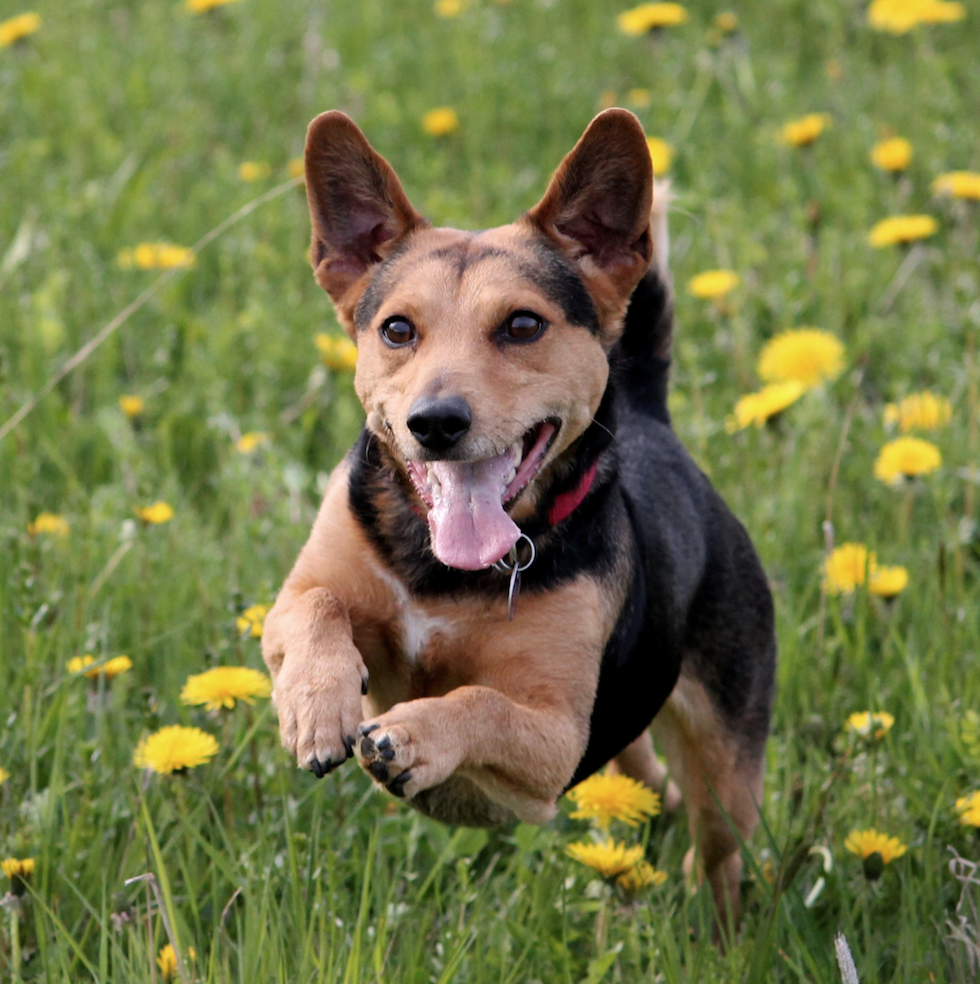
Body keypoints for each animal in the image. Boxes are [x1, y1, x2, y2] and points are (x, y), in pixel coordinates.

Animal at [264, 109, 776, 932]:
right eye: (397, 330)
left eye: (523, 325)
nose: (435, 423)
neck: (444, 571)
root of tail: (652, 422)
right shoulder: (298, 595)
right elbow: (316, 609)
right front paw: (315, 707)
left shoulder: (557, 738)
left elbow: (480, 704)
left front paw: (414, 735)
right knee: (645, 772)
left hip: (729, 763)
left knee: (719, 850)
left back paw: (716, 928)